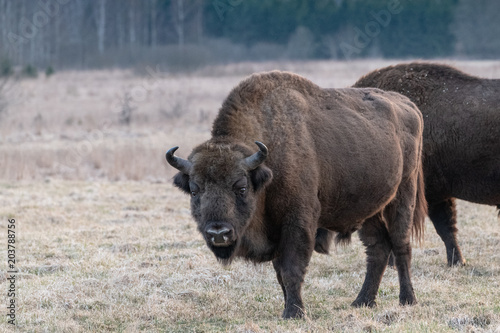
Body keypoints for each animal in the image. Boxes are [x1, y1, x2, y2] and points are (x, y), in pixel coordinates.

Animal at [166, 71, 424, 318]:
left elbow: (291, 269)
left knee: (401, 245)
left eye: (241, 187)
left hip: (403, 195)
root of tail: (409, 105)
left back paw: (407, 300)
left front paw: (295, 313)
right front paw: (289, 308)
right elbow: (280, 273)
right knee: (377, 249)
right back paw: (363, 301)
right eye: (194, 190)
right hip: (370, 210)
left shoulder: (297, 222)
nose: (218, 233)